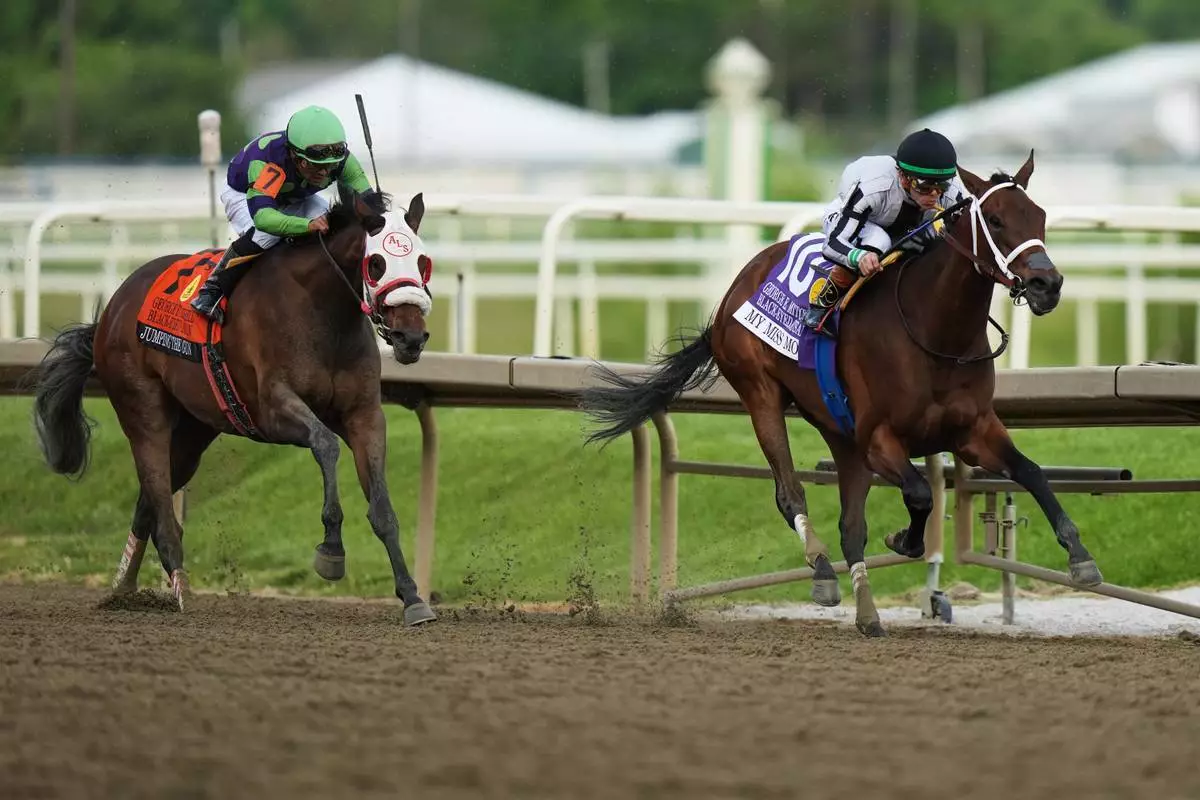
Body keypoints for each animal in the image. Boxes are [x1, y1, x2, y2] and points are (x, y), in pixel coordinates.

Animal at [29, 187, 439, 626]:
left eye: (423, 262)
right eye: (376, 263)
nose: (410, 338)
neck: (321, 311)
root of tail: (113, 308)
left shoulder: (364, 415)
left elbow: (382, 509)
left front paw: (413, 598)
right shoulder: (272, 409)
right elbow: (326, 444)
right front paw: (331, 550)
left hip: (193, 430)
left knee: (148, 503)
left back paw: (122, 589)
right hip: (143, 409)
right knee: (160, 505)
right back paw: (180, 590)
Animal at [580, 152, 1103, 637]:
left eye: (1039, 216)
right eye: (994, 219)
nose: (1047, 284)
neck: (936, 334)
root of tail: (732, 293)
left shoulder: (973, 431)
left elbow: (1031, 473)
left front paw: (1080, 556)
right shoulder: (880, 439)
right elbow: (919, 494)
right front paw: (903, 539)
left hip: (840, 434)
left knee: (851, 529)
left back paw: (867, 614)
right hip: (762, 396)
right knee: (790, 495)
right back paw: (822, 570)